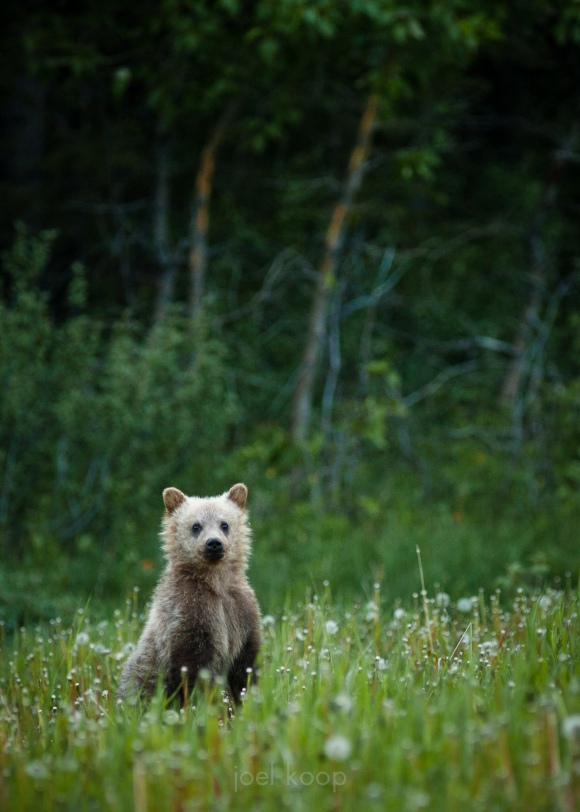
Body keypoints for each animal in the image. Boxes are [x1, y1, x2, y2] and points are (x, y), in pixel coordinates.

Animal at [119, 483, 261, 706]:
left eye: (224, 524)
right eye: (196, 526)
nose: (214, 543)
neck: (216, 583)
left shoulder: (240, 610)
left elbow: (245, 666)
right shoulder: (190, 613)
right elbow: (192, 670)